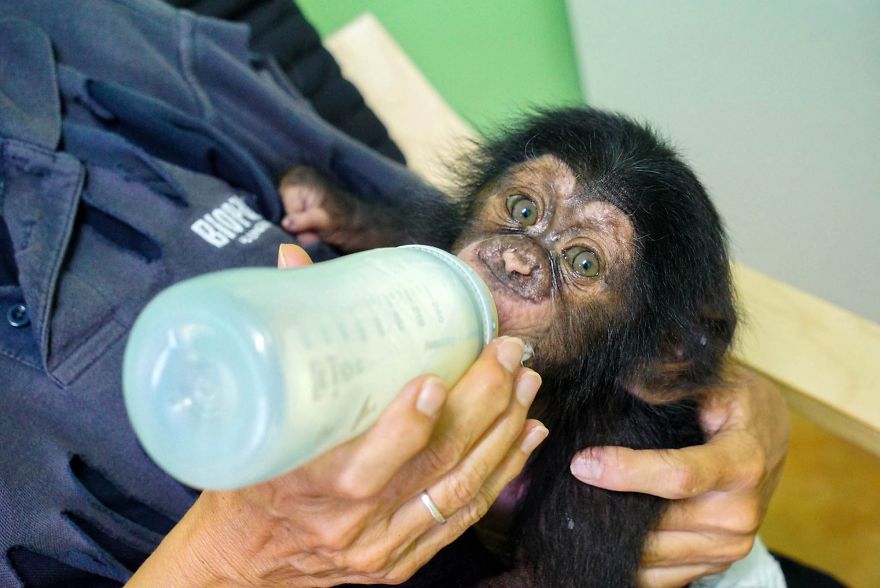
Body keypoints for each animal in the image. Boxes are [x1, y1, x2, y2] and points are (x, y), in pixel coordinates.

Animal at [279, 107, 737, 588]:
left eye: (584, 263)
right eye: (524, 209)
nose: (517, 262)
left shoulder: (622, 444)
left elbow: (543, 579)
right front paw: (326, 204)